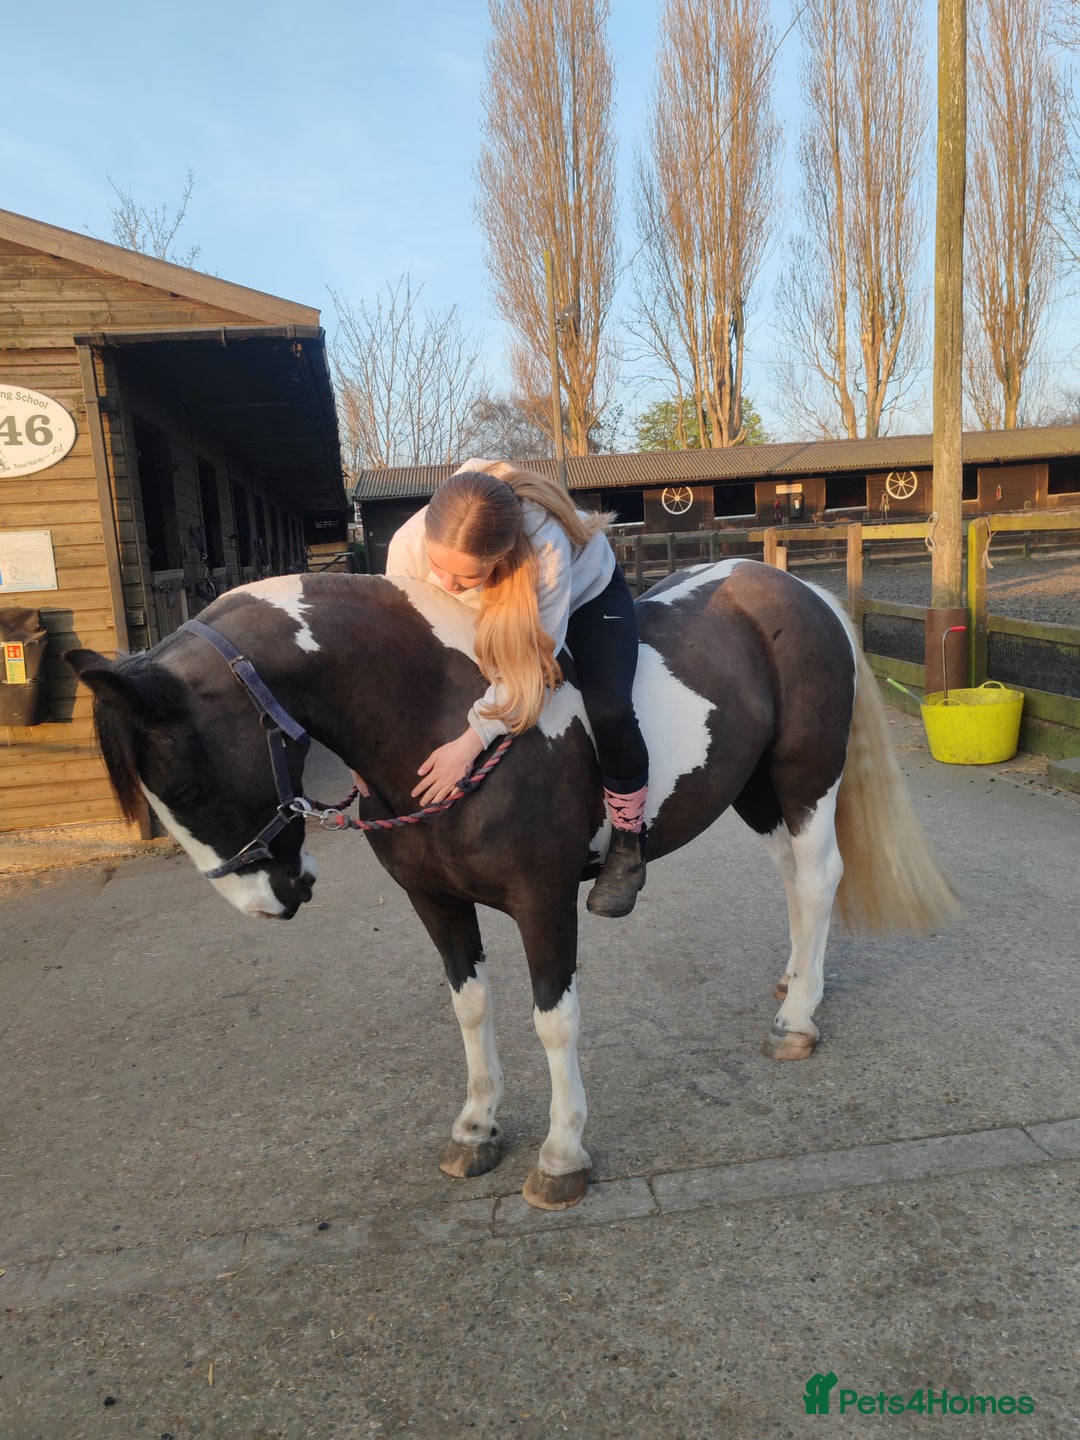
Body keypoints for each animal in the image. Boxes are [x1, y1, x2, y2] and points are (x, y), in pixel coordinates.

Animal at [66, 559, 961, 1210]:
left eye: (185, 789)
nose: (269, 901)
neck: (444, 714)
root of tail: (802, 590)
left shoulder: (544, 901)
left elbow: (553, 1022)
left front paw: (562, 1155)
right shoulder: (435, 902)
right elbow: (470, 1006)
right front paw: (475, 1128)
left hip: (805, 778)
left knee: (816, 879)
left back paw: (798, 1020)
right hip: (755, 789)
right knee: (790, 877)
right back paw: (795, 981)